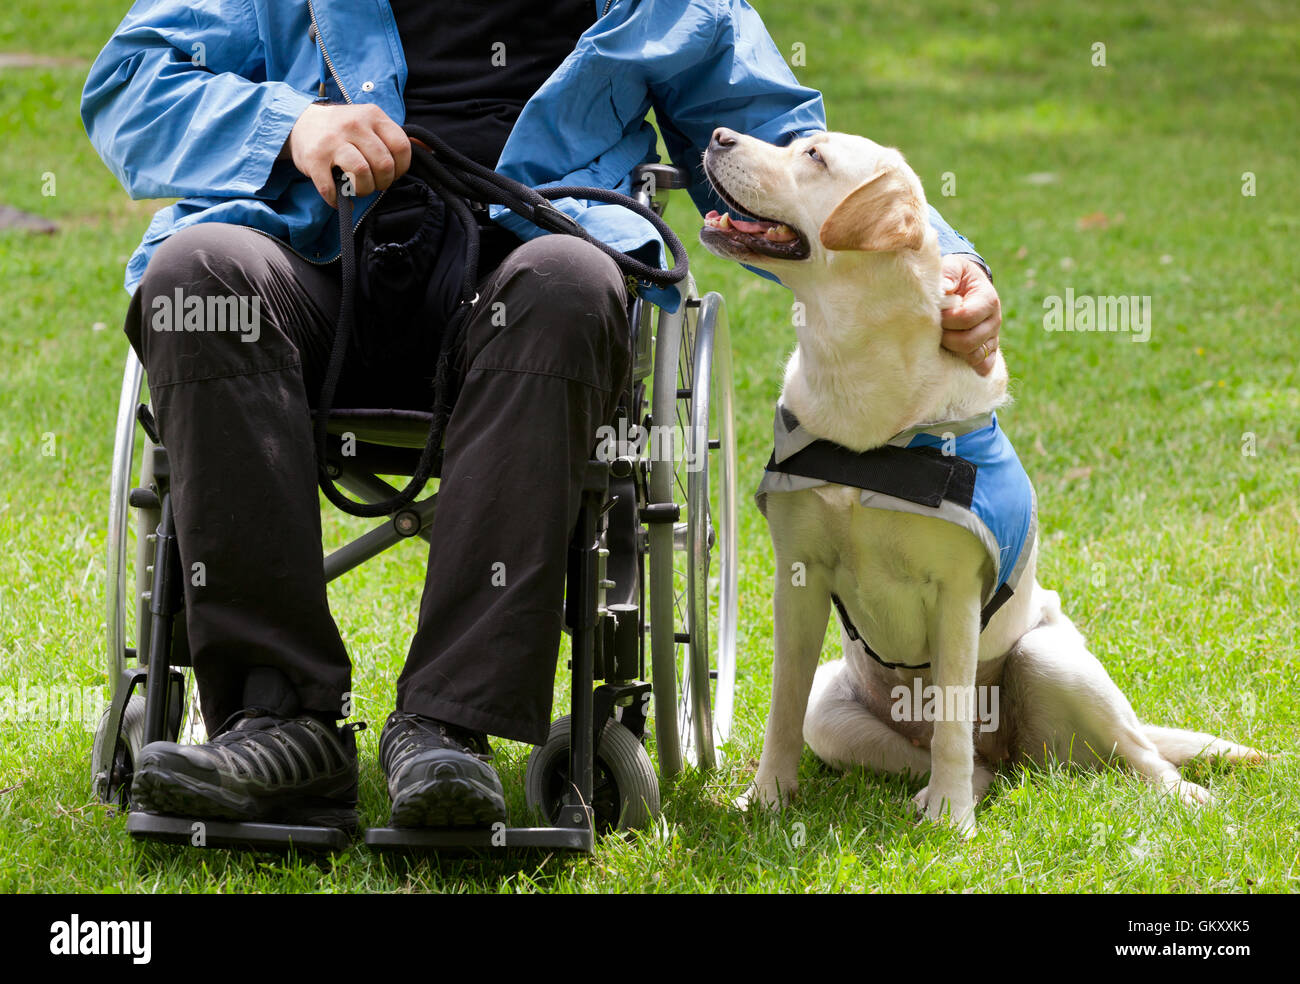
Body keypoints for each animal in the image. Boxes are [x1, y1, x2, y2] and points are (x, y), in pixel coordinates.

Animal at [702, 128, 1268, 837]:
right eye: (795, 143)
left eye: (815, 158)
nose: (718, 135)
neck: (857, 382)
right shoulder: (798, 578)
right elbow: (782, 705)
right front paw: (768, 798)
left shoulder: (955, 593)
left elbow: (950, 721)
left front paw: (951, 822)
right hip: (832, 711)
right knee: (976, 765)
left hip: (1050, 658)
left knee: (1135, 754)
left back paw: (1183, 797)